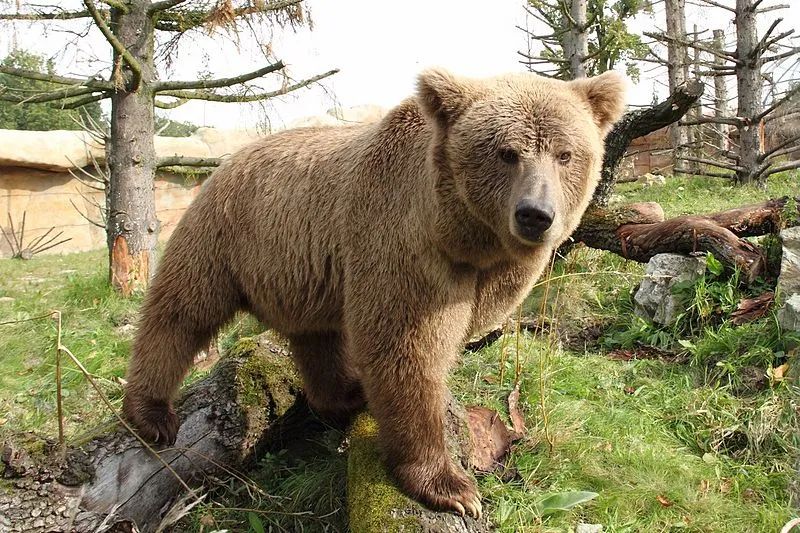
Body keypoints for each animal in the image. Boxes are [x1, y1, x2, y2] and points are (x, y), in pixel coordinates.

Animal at [123, 68, 624, 516]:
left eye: (565, 154)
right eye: (506, 152)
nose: (535, 214)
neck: (463, 237)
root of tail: (229, 158)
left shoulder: (485, 273)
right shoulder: (402, 243)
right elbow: (405, 349)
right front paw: (451, 486)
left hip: (300, 274)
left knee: (316, 338)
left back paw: (343, 395)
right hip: (225, 235)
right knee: (181, 311)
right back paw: (152, 414)